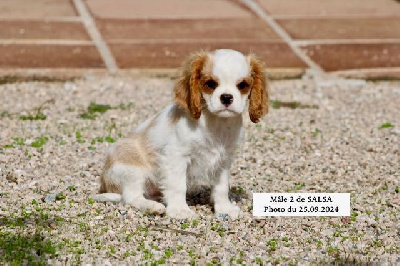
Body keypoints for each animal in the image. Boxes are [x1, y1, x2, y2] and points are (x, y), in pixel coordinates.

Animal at [94, 48, 268, 219]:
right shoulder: (176, 156)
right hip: (131, 169)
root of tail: (105, 183)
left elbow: (221, 187)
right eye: (210, 84)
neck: (216, 122)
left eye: (242, 85)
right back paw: (153, 207)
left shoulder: (223, 160)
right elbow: (178, 185)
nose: (226, 97)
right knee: (131, 197)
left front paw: (224, 208)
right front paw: (180, 210)